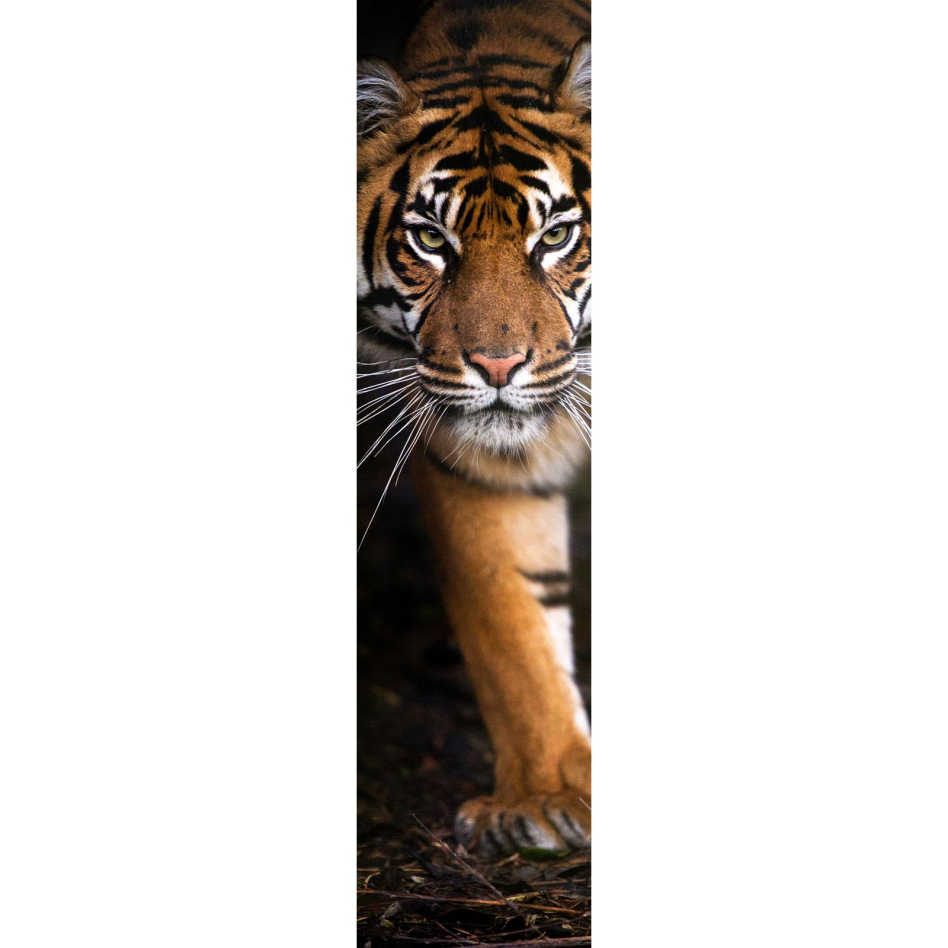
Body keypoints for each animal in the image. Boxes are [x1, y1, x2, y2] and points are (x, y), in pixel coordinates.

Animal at [357, 0, 592, 856]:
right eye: (431, 239)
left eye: (555, 236)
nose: (497, 366)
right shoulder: (479, 461)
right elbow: (511, 624)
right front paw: (548, 797)